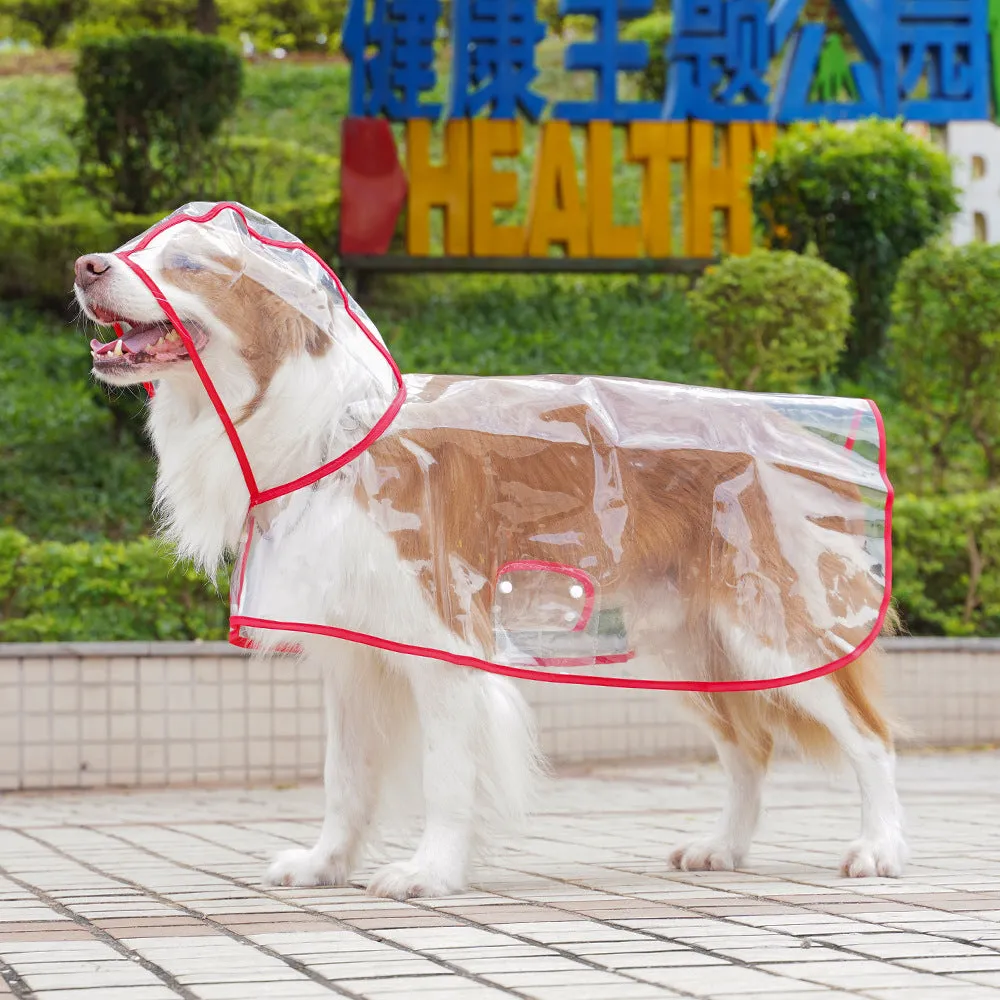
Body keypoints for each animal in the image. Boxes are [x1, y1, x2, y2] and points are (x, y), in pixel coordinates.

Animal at [72, 203, 908, 900]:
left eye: (186, 263)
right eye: (136, 246)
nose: (84, 265)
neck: (332, 433)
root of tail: (801, 432)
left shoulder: (443, 640)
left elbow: (447, 775)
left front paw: (430, 871)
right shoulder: (352, 654)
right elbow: (344, 777)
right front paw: (325, 864)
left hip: (770, 624)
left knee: (869, 737)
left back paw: (879, 847)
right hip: (679, 647)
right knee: (748, 747)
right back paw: (724, 847)